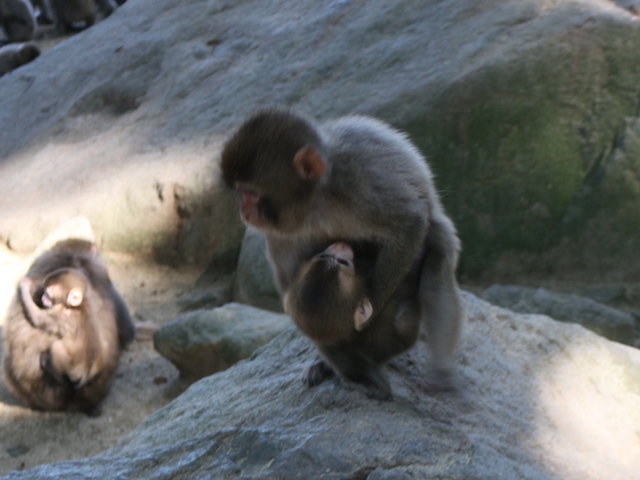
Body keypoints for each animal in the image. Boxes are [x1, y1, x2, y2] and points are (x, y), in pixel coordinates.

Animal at [222, 109, 462, 402]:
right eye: (240, 194)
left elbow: (410, 224)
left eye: (251, 194)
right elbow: (294, 282)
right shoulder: (281, 230)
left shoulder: (357, 183)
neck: (318, 200)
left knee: (437, 262)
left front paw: (368, 316)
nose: (244, 211)